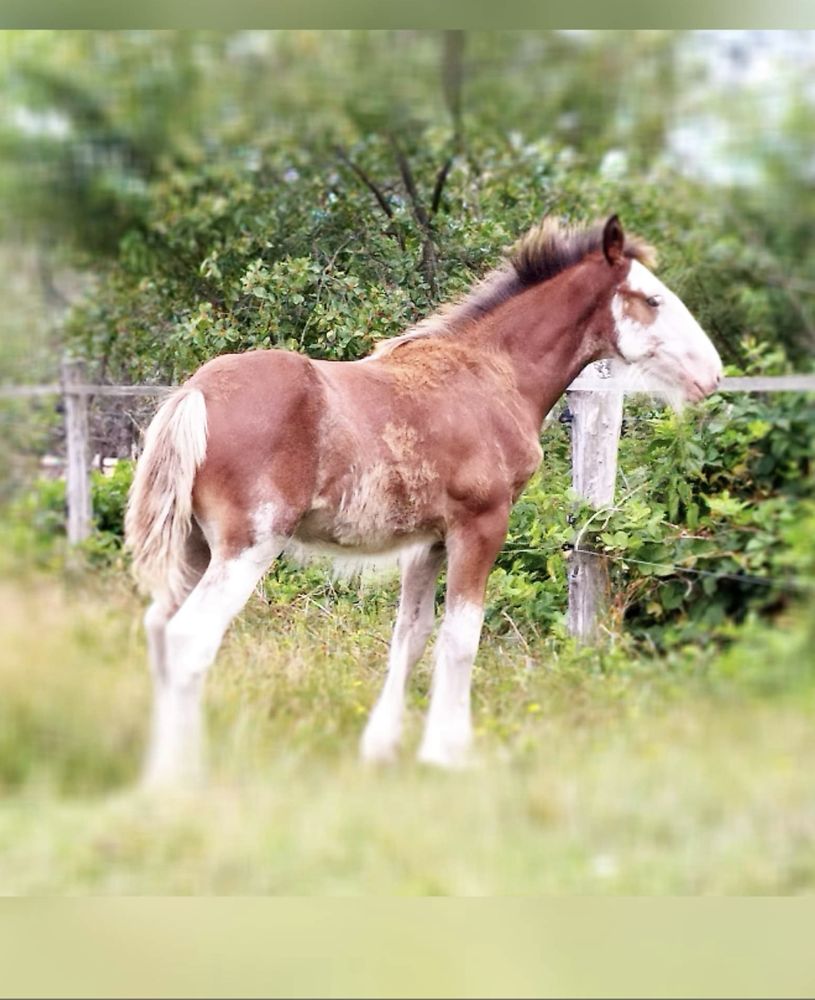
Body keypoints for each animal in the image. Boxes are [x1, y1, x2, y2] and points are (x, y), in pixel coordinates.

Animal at [126, 215, 720, 784]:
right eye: (653, 299)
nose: (712, 375)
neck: (492, 374)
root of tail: (194, 393)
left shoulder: (426, 541)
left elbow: (410, 637)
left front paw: (381, 747)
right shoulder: (481, 525)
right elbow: (461, 638)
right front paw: (447, 753)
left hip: (195, 546)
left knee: (157, 630)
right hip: (249, 545)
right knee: (189, 638)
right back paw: (182, 777)